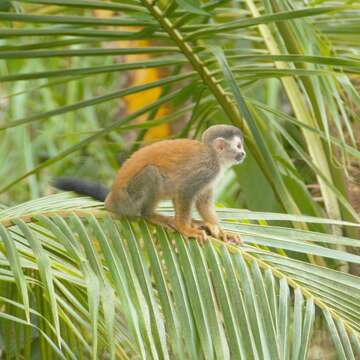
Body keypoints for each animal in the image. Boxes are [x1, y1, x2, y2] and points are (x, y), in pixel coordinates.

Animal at [54, 125, 245, 243]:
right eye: (238, 146)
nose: (243, 153)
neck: (214, 156)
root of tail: (112, 200)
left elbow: (202, 200)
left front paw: (218, 229)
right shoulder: (207, 169)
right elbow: (185, 191)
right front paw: (185, 229)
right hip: (129, 198)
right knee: (152, 173)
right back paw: (150, 215)